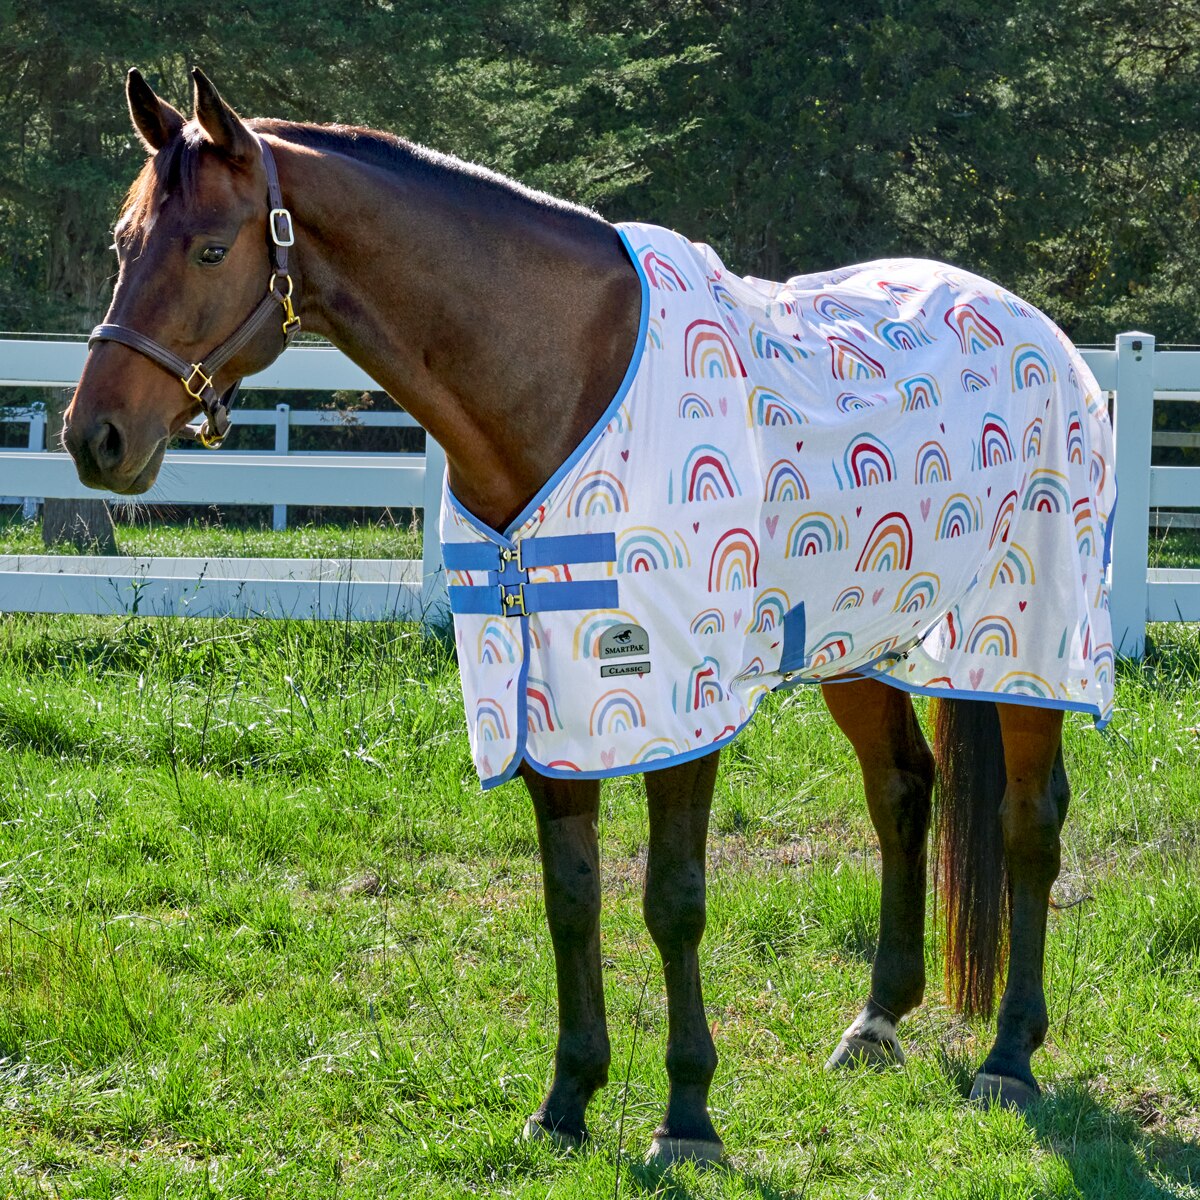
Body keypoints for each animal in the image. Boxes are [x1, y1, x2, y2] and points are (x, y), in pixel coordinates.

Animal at [63, 68, 1114, 1166]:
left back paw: (1010, 1054)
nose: (96, 437)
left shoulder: (677, 701)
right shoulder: (539, 696)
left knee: (1030, 822)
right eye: (124, 244)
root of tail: (1040, 331)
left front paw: (687, 1116)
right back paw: (876, 1021)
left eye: (209, 248)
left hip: (1029, 643)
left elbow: (673, 902)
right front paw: (566, 1100)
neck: (558, 377)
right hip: (858, 638)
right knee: (903, 792)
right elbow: (571, 900)